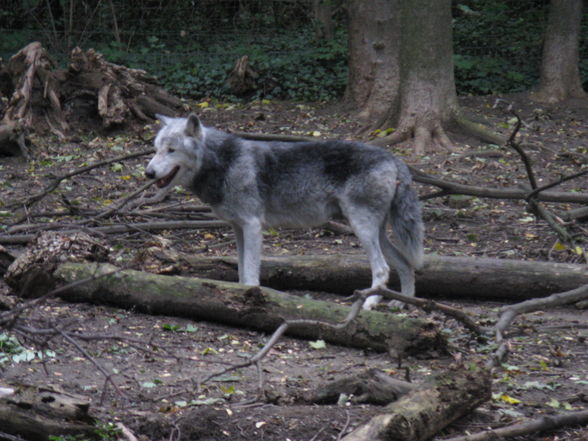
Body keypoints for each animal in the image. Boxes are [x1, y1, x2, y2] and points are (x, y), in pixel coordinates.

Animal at [146, 112, 422, 310]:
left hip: (362, 229)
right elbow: (240, 270)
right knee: (405, 264)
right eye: (156, 149)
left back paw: (370, 303)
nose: (148, 173)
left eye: (171, 150)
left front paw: (250, 301)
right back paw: (401, 304)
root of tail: (392, 157)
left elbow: (250, 273)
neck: (225, 163)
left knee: (383, 269)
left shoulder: (253, 226)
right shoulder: (238, 228)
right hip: (375, 232)